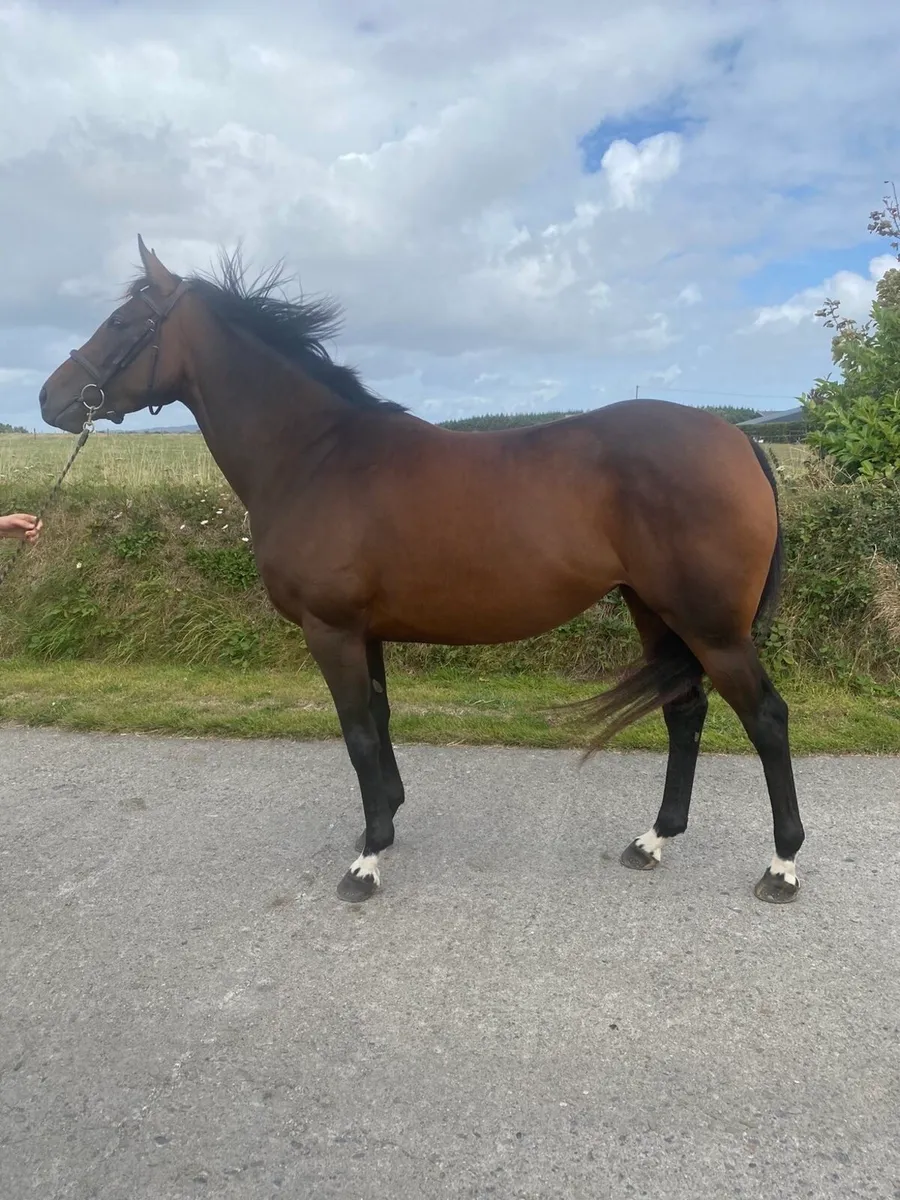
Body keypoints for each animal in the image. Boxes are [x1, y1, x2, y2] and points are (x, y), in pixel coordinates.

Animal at [39, 236, 804, 906]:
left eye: (122, 322)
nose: (50, 398)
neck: (315, 455)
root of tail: (739, 438)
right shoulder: (364, 632)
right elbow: (378, 719)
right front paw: (387, 819)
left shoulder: (331, 630)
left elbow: (355, 733)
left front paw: (367, 861)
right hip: (655, 610)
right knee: (685, 712)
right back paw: (654, 840)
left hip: (713, 627)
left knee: (766, 718)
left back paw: (783, 866)